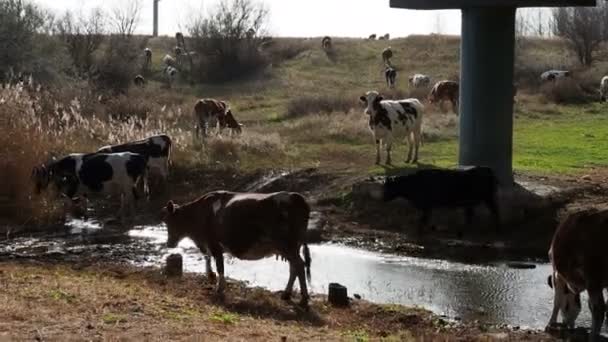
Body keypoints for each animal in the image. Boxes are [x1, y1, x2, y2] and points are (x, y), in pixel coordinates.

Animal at [160, 191, 312, 306]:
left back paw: (303, 300)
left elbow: (220, 266)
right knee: (294, 267)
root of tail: (295, 196)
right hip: (292, 247)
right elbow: (208, 259)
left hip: (287, 245)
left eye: (169, 220)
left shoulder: (214, 244)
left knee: (299, 265)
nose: (169, 243)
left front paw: (219, 288)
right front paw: (211, 276)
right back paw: (286, 294)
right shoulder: (209, 245)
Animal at [548, 208, 608, 340]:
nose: (569, 325)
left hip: (592, 275)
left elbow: (557, 300)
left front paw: (551, 322)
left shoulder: (559, 275)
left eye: (566, 307)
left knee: (599, 309)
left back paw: (592, 337)